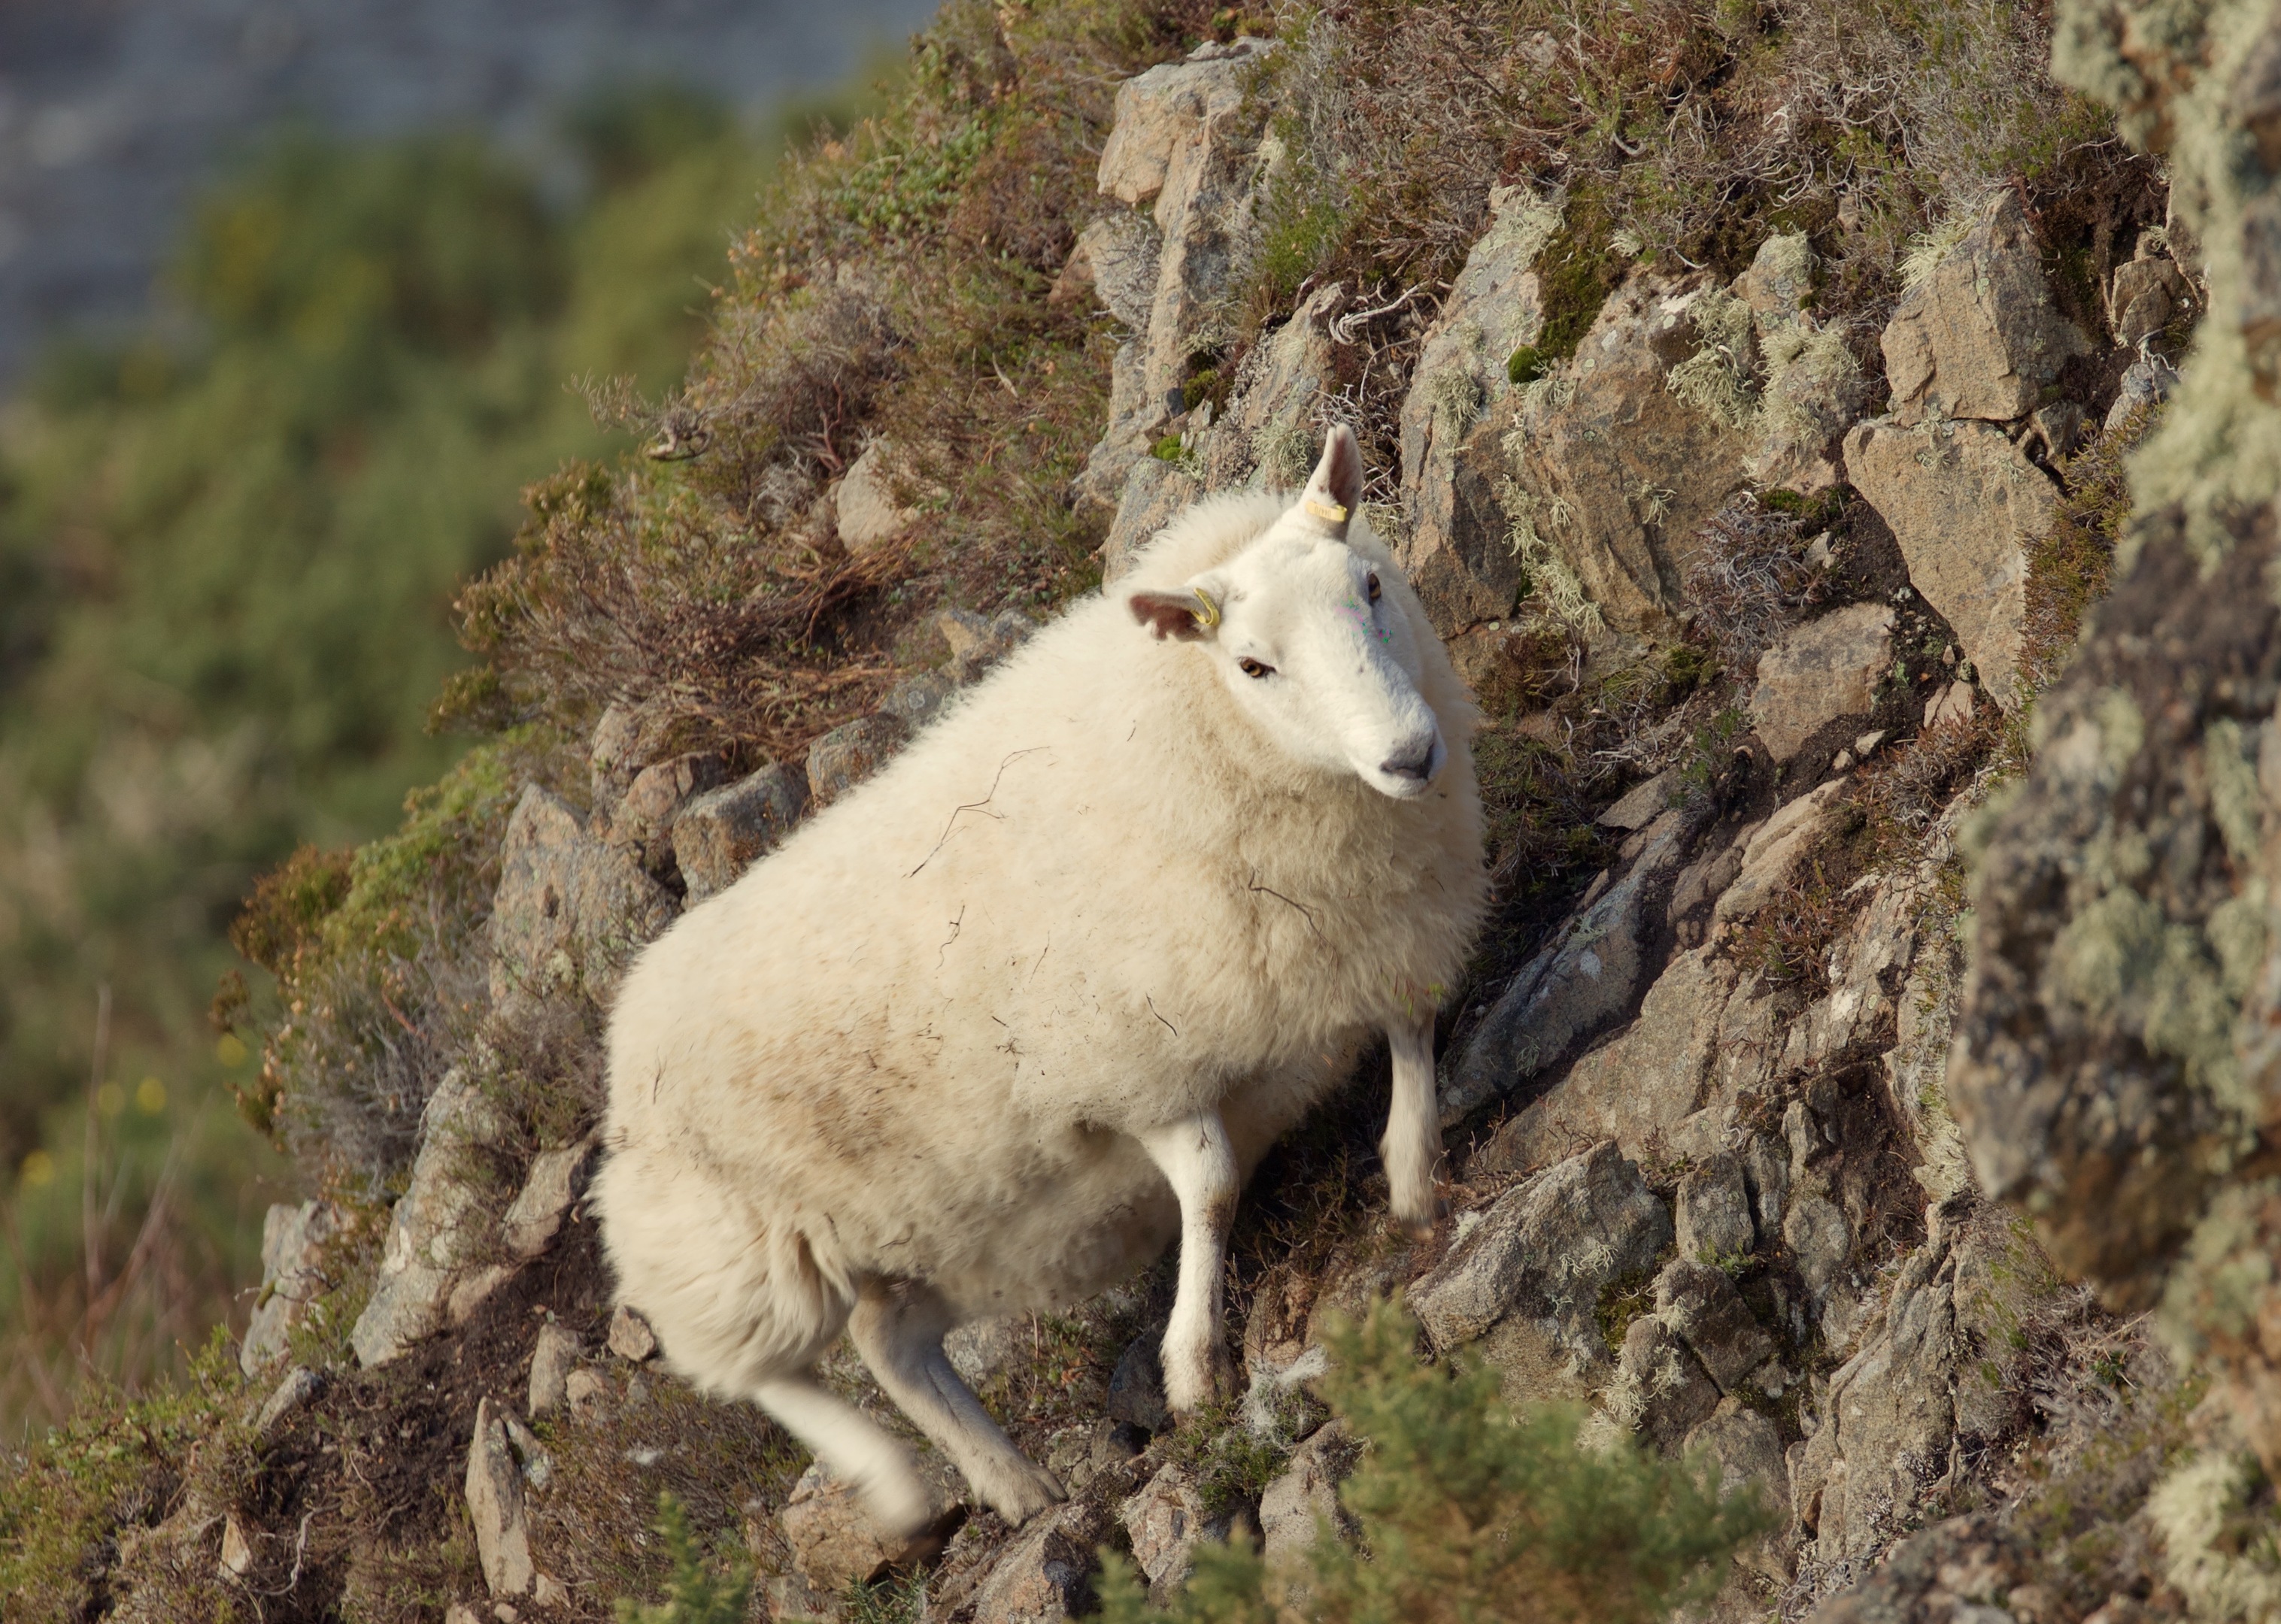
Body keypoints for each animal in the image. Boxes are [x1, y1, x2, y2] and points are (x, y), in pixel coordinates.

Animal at [593, 429, 1478, 1532]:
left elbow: (1412, 1024)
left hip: (925, 1229)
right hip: (738, 1261)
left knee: (892, 1348)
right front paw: (1194, 1368)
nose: (1410, 753)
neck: (1176, 736)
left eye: (1370, 584)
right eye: (1253, 664)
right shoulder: (1129, 1064)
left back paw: (1014, 1485)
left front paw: (1412, 1174)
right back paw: (892, 1483)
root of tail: (623, 1037)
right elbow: (1214, 1189)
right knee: (761, 1375)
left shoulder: (1380, 927)